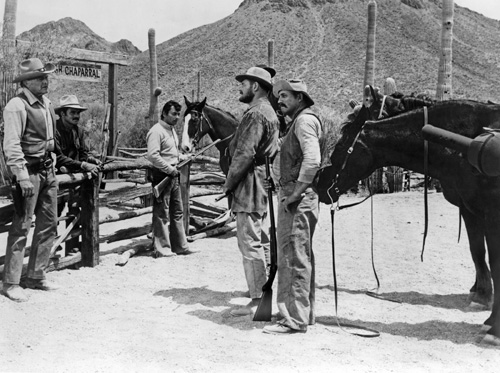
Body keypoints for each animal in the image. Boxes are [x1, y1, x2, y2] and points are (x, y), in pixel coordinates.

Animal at [316, 99, 500, 346]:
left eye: (343, 143)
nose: (318, 182)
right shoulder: (471, 211)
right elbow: (477, 251)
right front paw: (480, 295)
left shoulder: (487, 215)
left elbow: (489, 260)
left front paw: (489, 316)